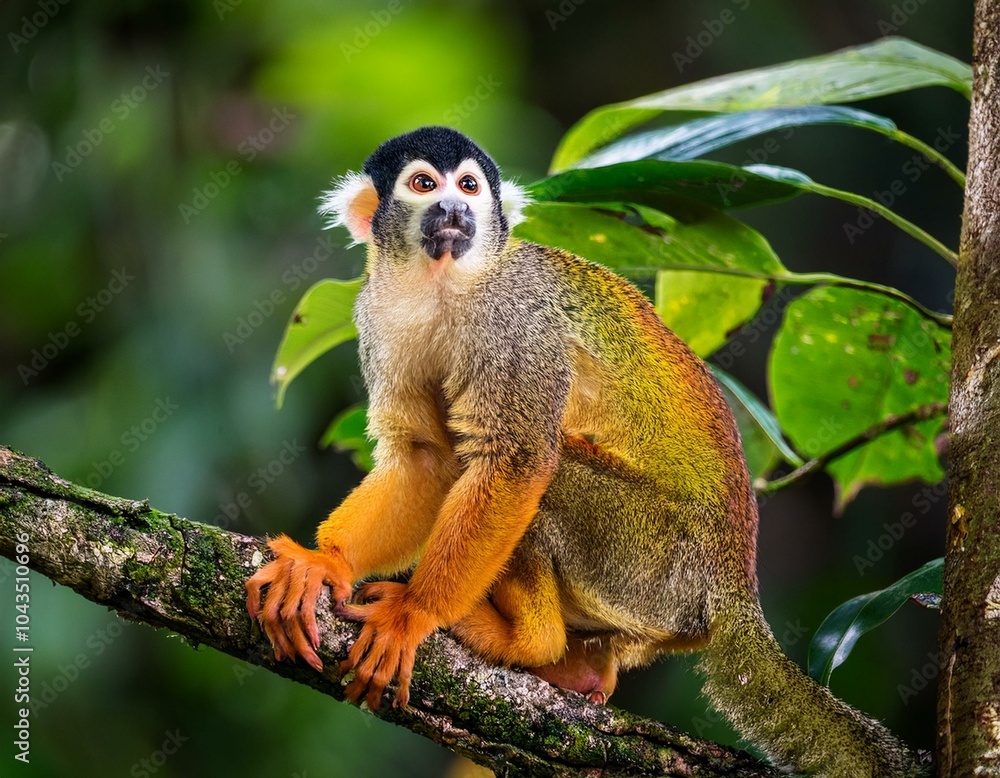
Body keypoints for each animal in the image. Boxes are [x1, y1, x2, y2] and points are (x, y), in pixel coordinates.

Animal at [246, 126, 919, 777]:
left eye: (469, 186)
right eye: (424, 184)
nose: (455, 210)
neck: (440, 283)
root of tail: (734, 587)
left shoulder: (512, 320)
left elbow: (516, 459)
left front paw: (415, 613)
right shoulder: (377, 314)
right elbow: (424, 459)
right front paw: (324, 563)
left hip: (650, 560)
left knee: (549, 472)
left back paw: (532, 642)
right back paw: (577, 665)